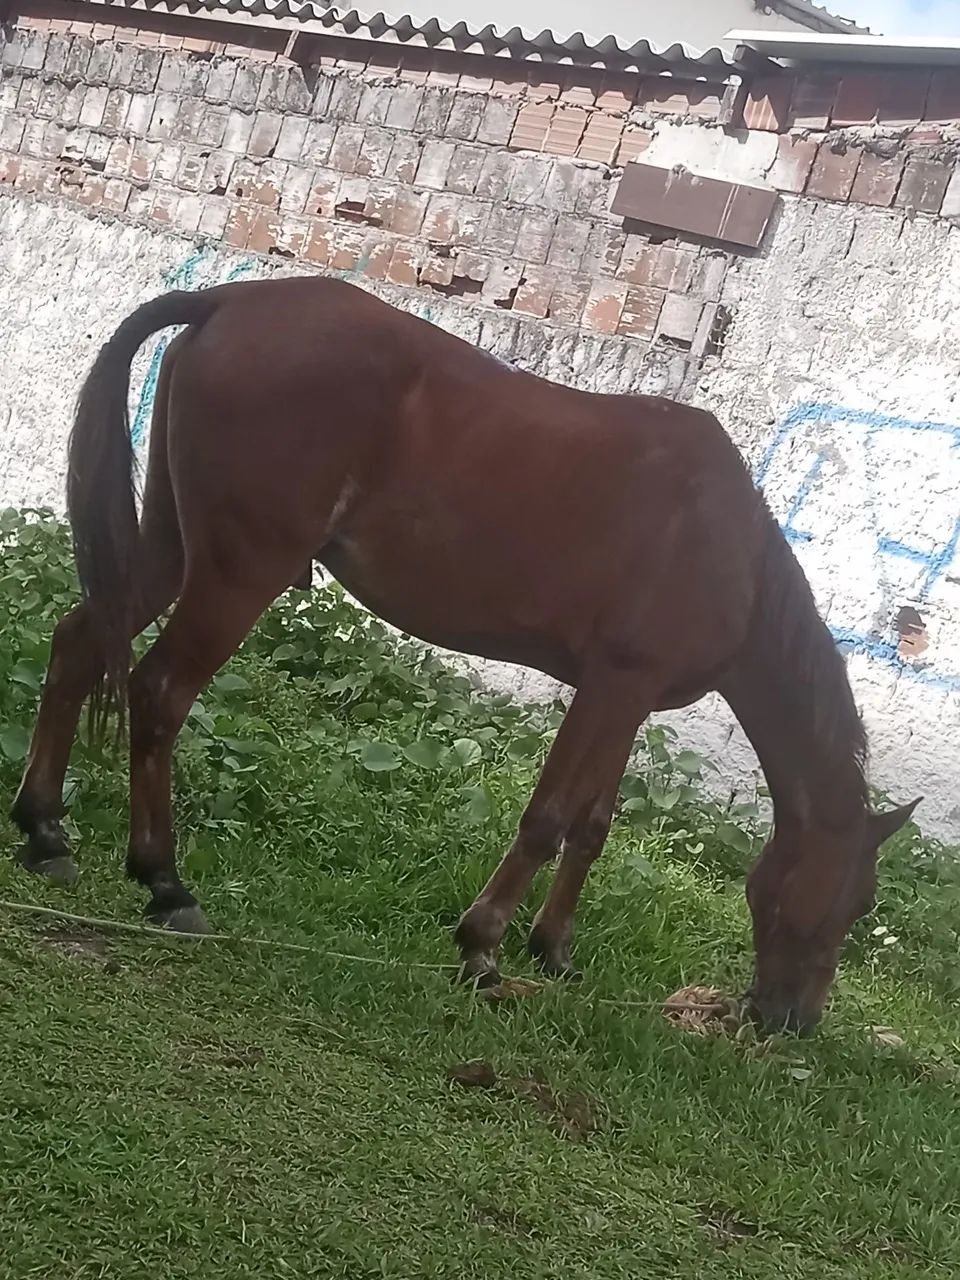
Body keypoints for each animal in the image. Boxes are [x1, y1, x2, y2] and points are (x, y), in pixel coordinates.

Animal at [11, 276, 919, 1033]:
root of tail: (226, 300)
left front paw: (553, 951)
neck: (735, 553)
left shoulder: (629, 693)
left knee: (77, 646)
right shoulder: (614, 687)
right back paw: (164, 882)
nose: (792, 1022)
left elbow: (593, 826)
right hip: (239, 574)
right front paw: (481, 947)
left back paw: (46, 831)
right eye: (852, 902)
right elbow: (549, 819)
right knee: (160, 691)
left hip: (169, 546)